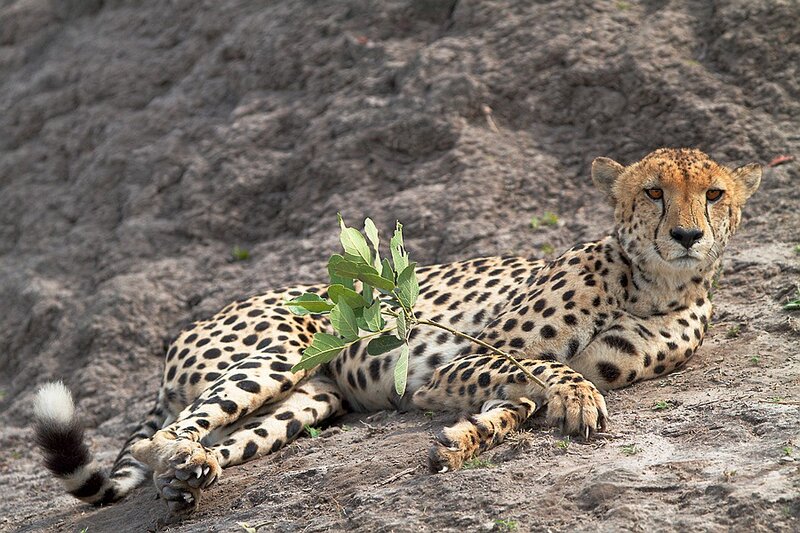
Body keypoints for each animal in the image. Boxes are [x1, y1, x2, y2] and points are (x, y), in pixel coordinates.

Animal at [33, 148, 761, 516]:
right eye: (653, 192)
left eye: (715, 194)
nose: (687, 235)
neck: (651, 283)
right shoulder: (462, 362)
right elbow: (546, 372)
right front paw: (571, 401)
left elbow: (518, 405)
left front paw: (463, 443)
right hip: (282, 350)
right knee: (158, 433)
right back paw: (175, 459)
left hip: (311, 399)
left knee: (224, 437)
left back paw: (192, 473)